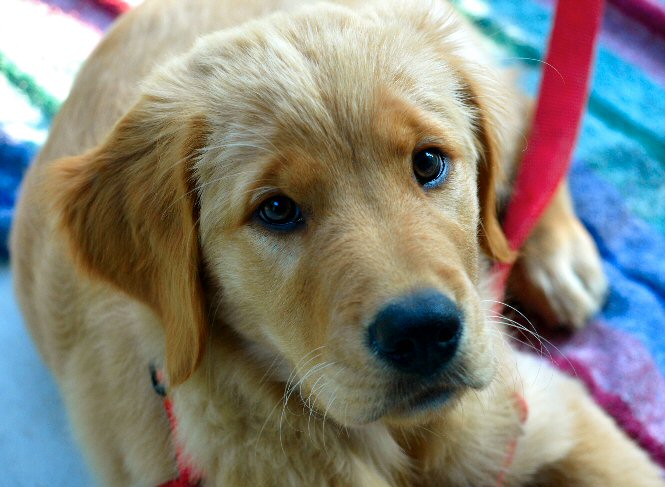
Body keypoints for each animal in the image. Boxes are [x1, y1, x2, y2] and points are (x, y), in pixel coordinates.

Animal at [9, 0, 660, 486]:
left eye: (429, 162)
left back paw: (558, 257)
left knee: (532, 117)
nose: (423, 331)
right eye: (276, 210)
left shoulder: (551, 414)